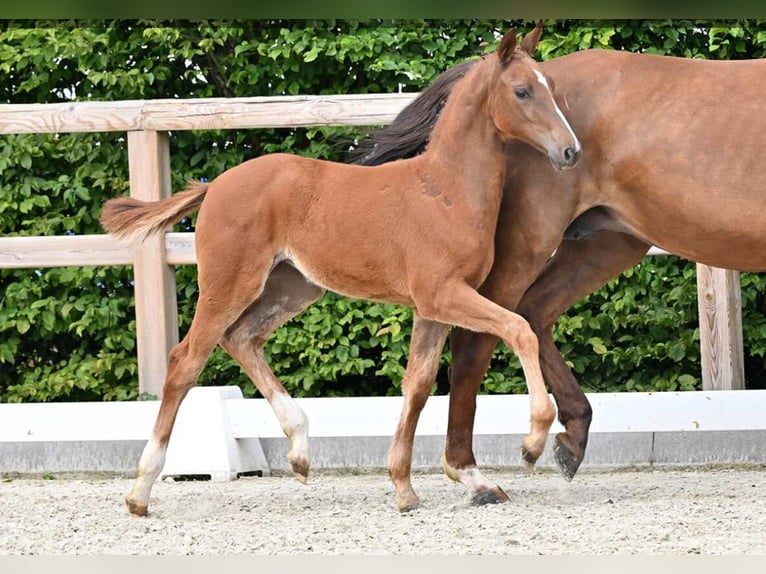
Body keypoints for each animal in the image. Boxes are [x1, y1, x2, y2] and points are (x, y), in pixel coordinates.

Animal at [100, 24, 581, 516]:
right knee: (186, 361)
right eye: (522, 91)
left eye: (550, 86)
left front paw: (405, 489)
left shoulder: (431, 307)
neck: (446, 191)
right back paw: (140, 491)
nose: (570, 151)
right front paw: (533, 442)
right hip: (229, 282)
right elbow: (520, 329)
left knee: (242, 338)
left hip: (293, 287)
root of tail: (213, 185)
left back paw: (299, 452)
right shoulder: (442, 293)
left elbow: (418, 384)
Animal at [220, 37, 766, 506]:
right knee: (484, 338)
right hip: (535, 244)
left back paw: (562, 440)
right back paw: (479, 470)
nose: (568, 150)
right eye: (523, 92)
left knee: (530, 315)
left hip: (608, 243)